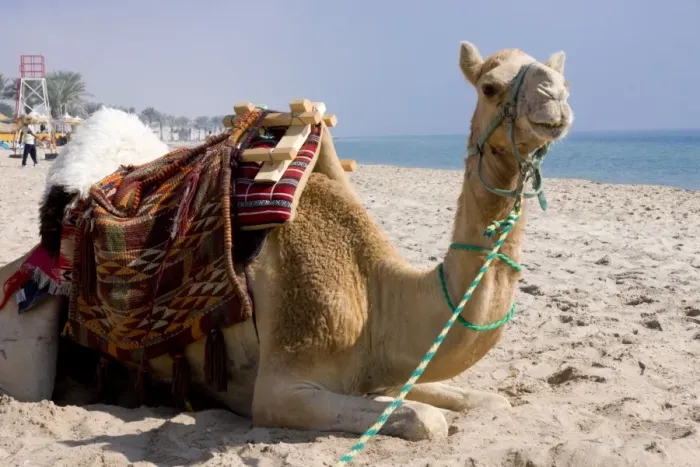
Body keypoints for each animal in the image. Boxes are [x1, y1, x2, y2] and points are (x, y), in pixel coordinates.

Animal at [0, 41, 572, 442]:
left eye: (558, 73)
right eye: (490, 86)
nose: (556, 99)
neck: (377, 295)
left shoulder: (382, 377)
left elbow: (483, 403)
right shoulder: (282, 389)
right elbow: (425, 420)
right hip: (26, 327)